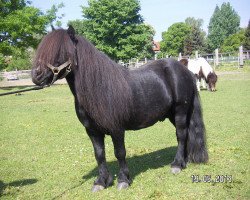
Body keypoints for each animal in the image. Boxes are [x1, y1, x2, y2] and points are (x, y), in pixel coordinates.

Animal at [31, 25, 208, 191]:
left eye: (60, 50)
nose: (36, 75)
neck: (98, 88)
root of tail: (184, 70)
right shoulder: (92, 131)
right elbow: (99, 154)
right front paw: (101, 181)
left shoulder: (116, 129)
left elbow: (120, 153)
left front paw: (123, 180)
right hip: (172, 114)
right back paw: (183, 161)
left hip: (180, 112)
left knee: (181, 135)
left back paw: (177, 164)